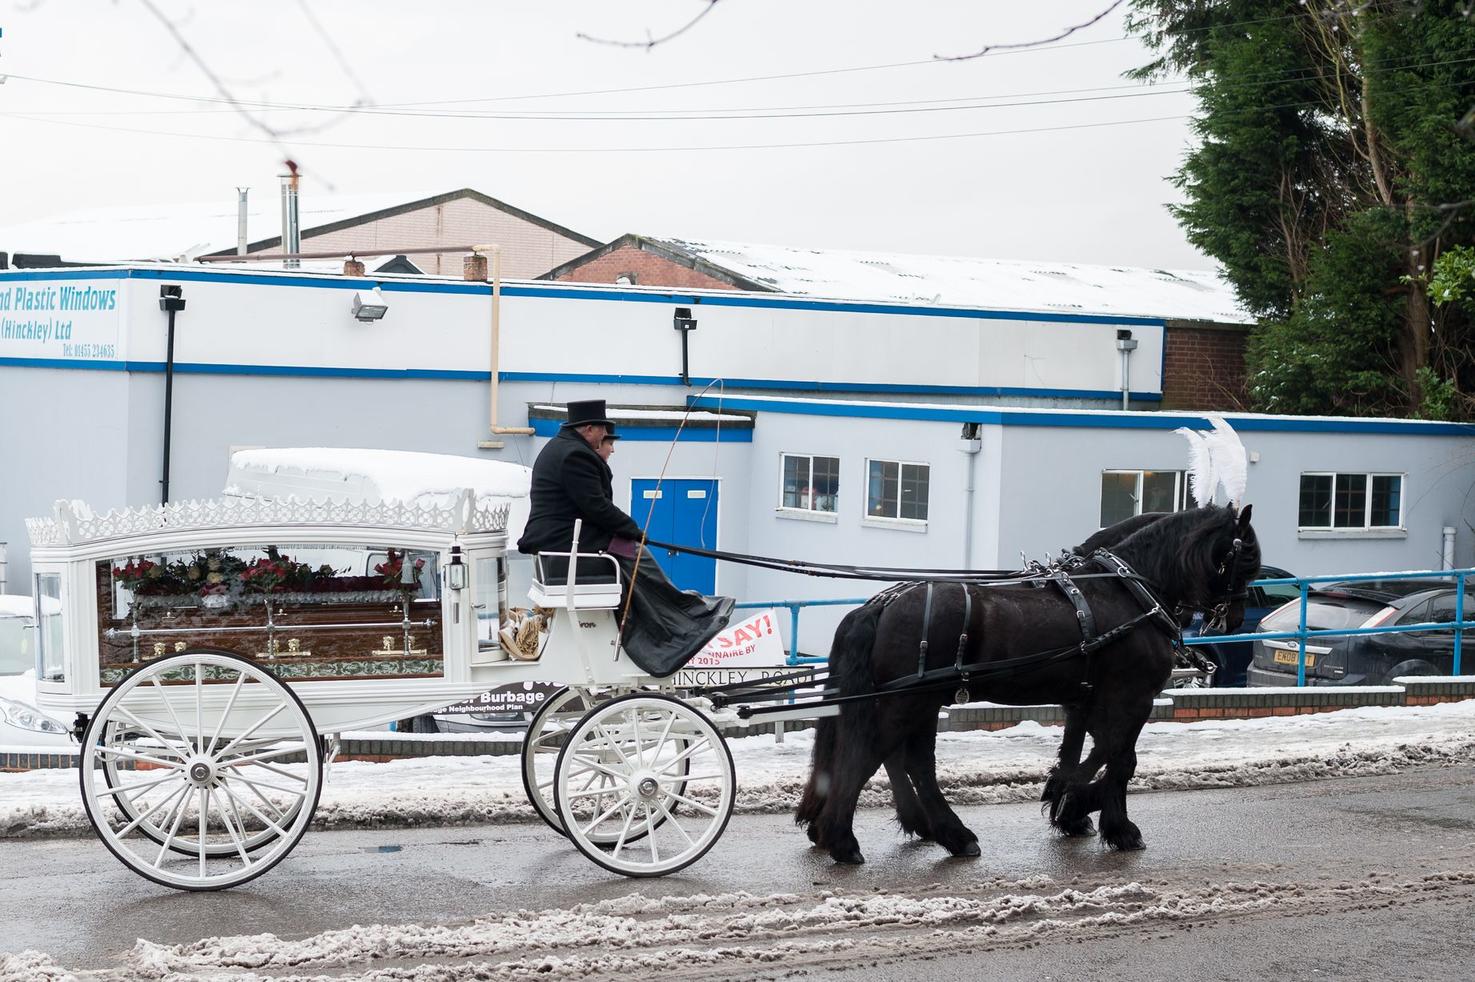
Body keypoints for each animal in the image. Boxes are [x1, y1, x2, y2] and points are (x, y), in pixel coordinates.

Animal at [796, 501, 1256, 861]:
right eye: (1247, 557)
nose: (1233, 619)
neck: (1128, 592)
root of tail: (882, 603)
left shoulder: (1085, 700)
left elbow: (1085, 752)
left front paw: (1068, 805)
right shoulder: (1132, 697)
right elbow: (1120, 759)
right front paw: (1105, 819)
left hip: (920, 700)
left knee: (911, 762)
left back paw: (945, 833)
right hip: (910, 700)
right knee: (874, 756)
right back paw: (844, 839)